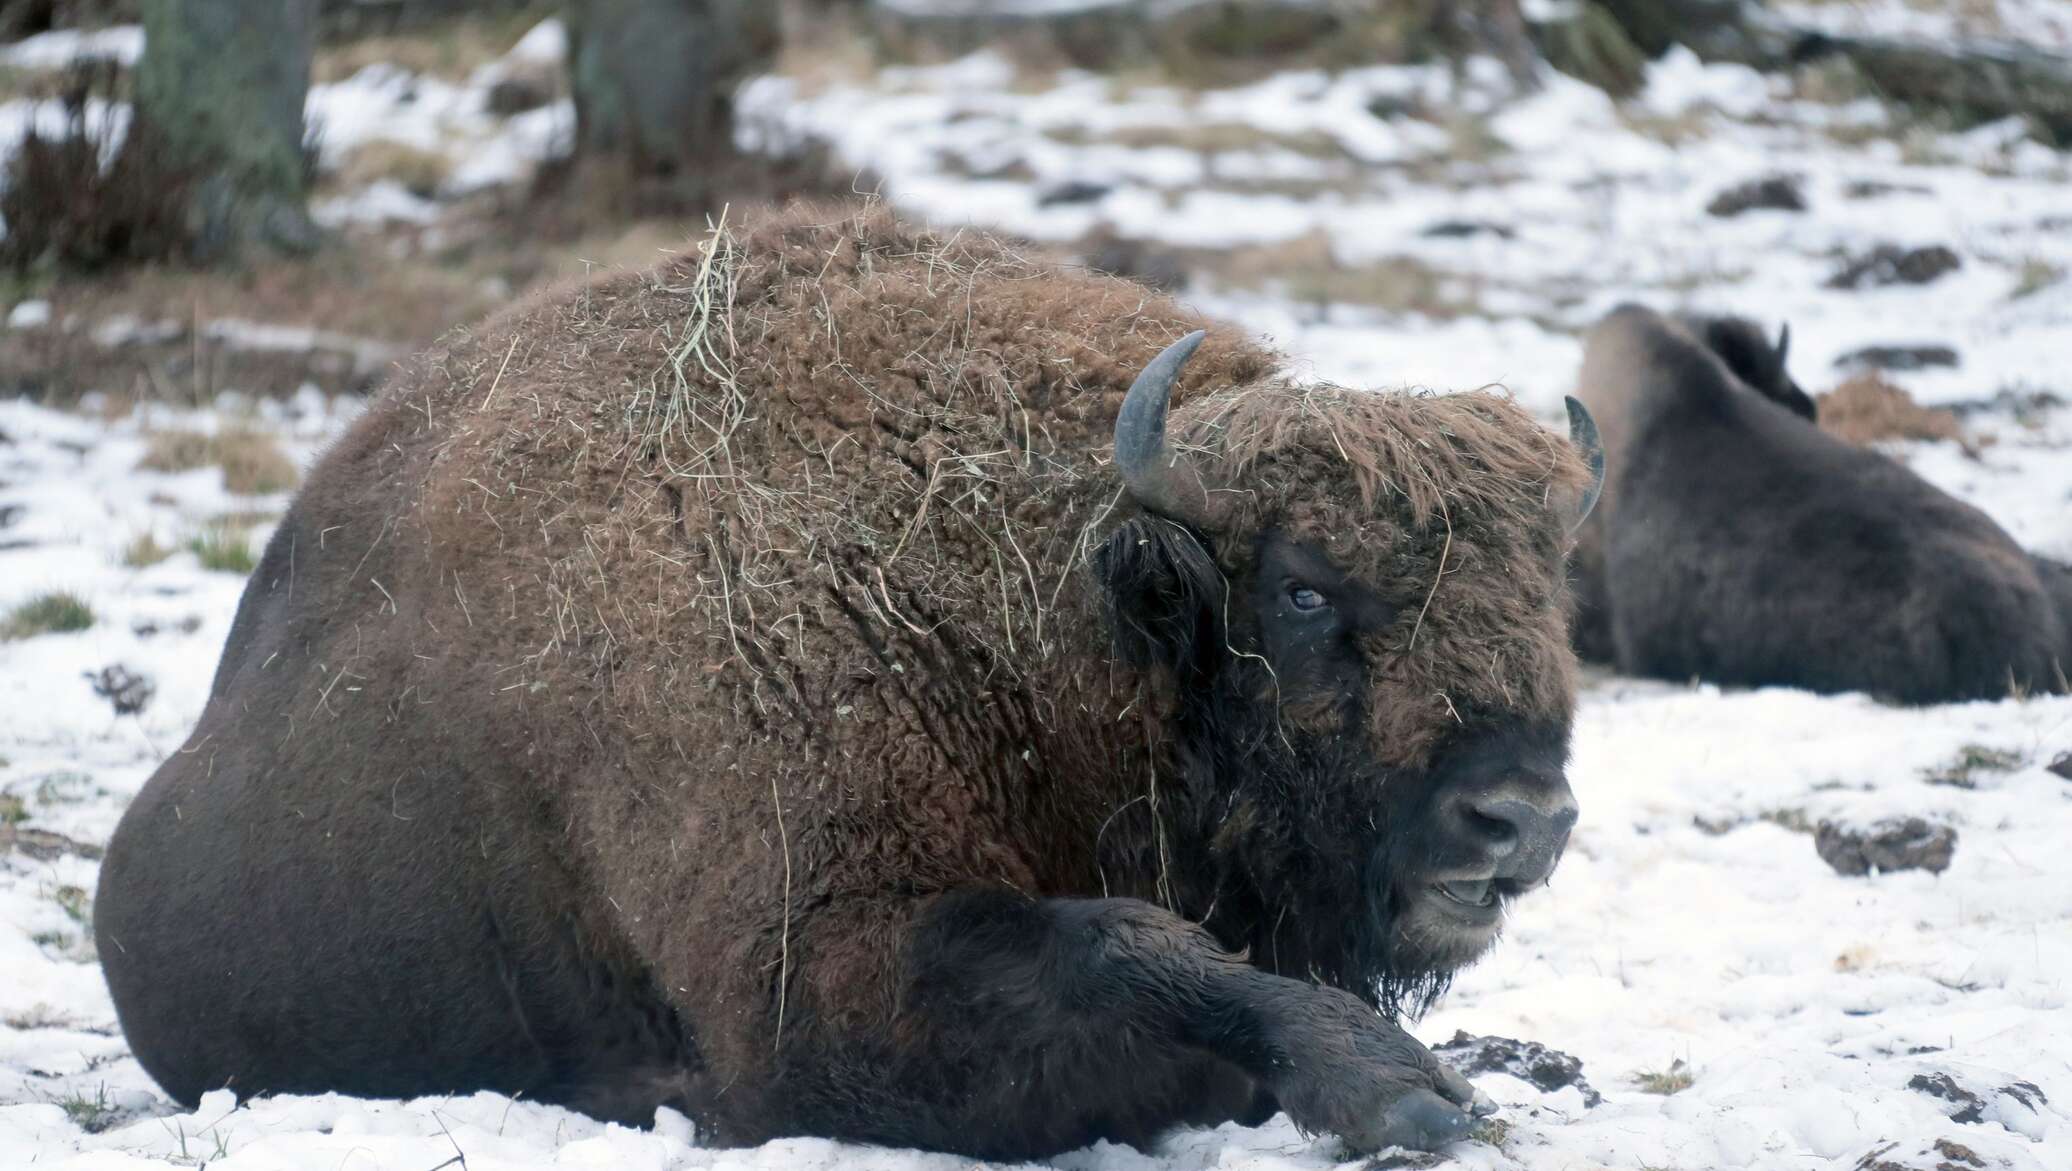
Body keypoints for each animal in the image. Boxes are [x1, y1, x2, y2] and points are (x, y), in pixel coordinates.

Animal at [93, 205, 1599, 1152]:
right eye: (1300, 588)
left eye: (1552, 590)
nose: (1519, 817)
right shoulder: (817, 985)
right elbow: (1133, 948)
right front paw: (1403, 1094)